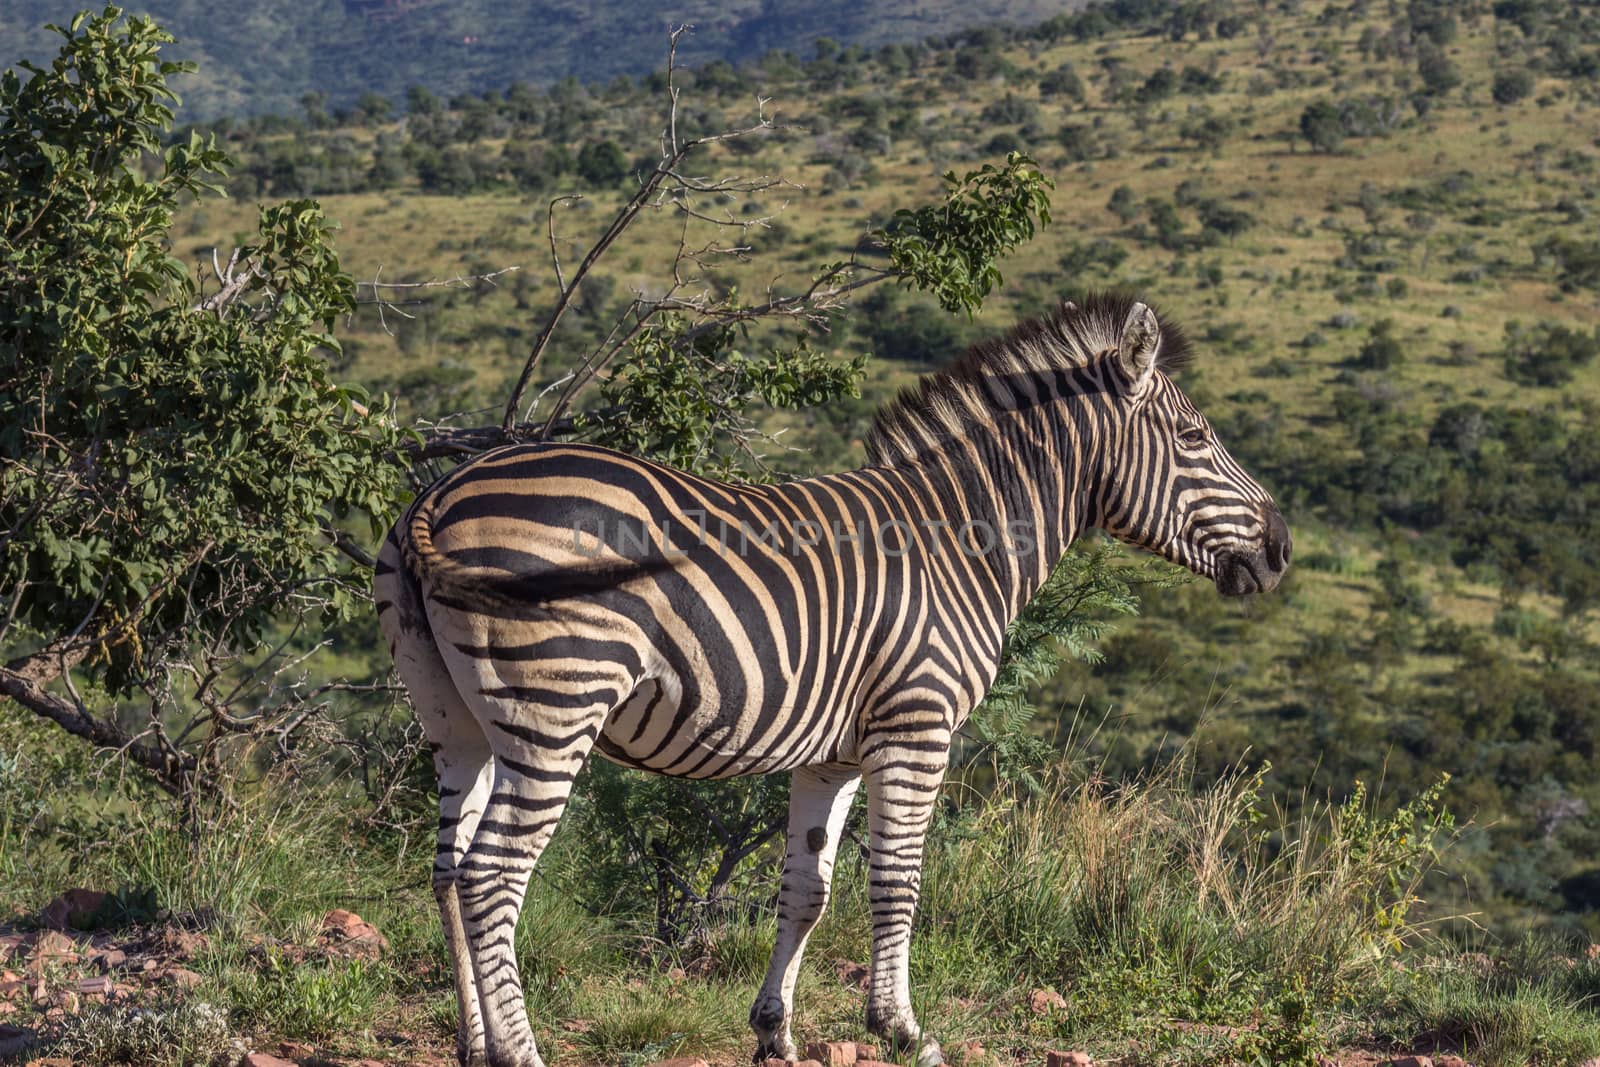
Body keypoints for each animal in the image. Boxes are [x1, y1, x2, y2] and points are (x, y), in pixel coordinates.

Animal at [371, 292, 1286, 1067]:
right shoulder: (916, 724)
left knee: (449, 868)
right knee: (493, 874)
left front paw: (774, 1032)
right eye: (1196, 439)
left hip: (458, 721)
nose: (1281, 548)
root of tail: (444, 493)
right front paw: (900, 1028)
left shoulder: (833, 752)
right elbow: (897, 880)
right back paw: (520, 1052)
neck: (964, 537)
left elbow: (807, 888)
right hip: (556, 705)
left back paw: (474, 1044)